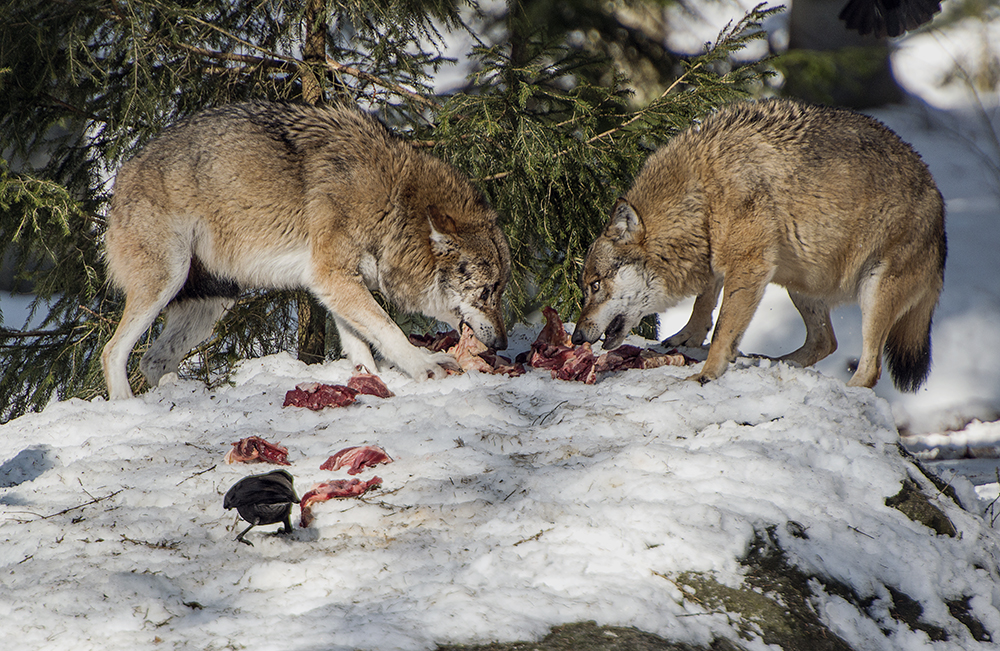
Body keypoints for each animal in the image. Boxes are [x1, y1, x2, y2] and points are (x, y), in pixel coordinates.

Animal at [102, 102, 512, 400]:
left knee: (154, 360)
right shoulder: (332, 276)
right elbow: (389, 329)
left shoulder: (336, 283)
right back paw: (127, 405)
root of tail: (122, 173)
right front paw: (424, 367)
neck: (394, 205)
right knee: (113, 351)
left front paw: (369, 379)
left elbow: (360, 345)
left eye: (501, 290)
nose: (503, 343)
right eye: (486, 292)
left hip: (214, 302)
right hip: (166, 281)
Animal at [572, 99, 944, 390]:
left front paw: (706, 374)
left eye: (595, 285)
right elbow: (703, 303)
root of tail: (939, 203)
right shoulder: (718, 259)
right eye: (585, 287)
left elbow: (723, 329)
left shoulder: (748, 265)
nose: (576, 337)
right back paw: (770, 361)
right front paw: (687, 337)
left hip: (873, 291)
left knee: (869, 368)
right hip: (801, 286)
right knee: (826, 342)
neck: (700, 194)